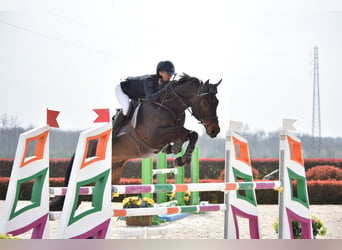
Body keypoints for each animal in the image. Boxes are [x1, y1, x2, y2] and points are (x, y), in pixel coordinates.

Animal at [49, 73, 222, 210]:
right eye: (206, 102)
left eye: (217, 102)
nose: (215, 130)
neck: (168, 106)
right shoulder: (155, 136)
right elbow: (183, 132)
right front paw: (180, 157)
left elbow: (192, 135)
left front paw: (180, 156)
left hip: (115, 173)